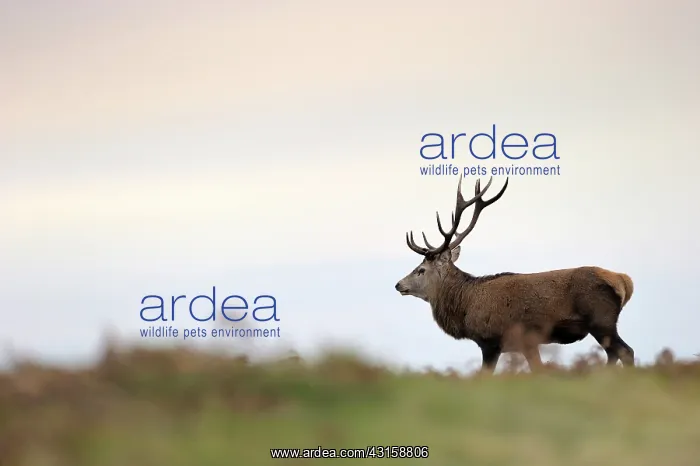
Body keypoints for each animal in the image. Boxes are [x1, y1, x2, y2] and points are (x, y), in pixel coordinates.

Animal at [395, 175, 635, 373]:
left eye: (421, 270)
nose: (398, 284)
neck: (466, 305)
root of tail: (624, 281)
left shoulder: (492, 340)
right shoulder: (524, 344)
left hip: (601, 320)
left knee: (627, 352)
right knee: (613, 354)